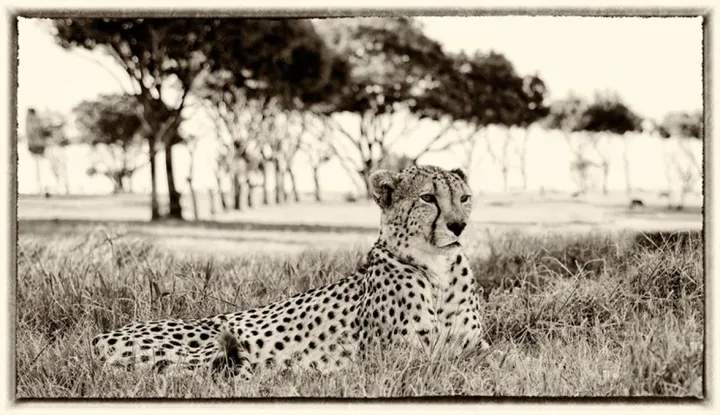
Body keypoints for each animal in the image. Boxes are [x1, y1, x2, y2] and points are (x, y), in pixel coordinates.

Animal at [90, 165, 490, 380]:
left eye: (464, 198)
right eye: (428, 198)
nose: (458, 225)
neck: (437, 269)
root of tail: (100, 336)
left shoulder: (477, 347)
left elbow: (498, 361)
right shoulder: (400, 358)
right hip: (208, 346)